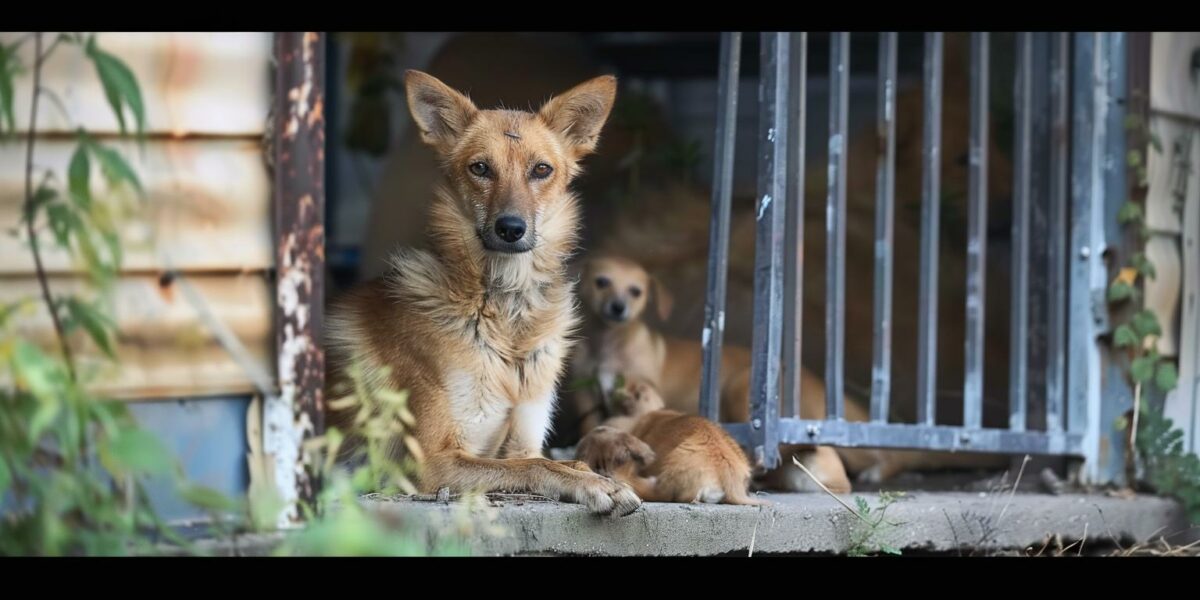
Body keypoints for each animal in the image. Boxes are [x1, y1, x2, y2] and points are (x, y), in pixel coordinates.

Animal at [319, 68, 638, 513]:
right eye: (481, 168)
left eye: (541, 169)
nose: (511, 228)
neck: (507, 309)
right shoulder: (433, 463)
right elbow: (538, 467)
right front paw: (598, 485)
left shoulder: (523, 441)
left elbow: (559, 459)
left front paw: (597, 475)